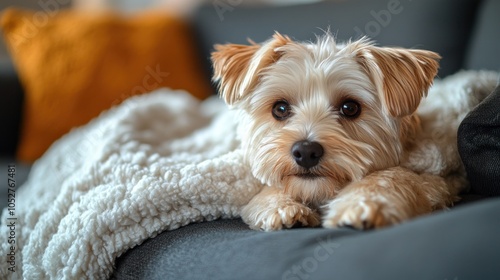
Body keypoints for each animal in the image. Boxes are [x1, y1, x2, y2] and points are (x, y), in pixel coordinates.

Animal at [210, 32, 496, 231]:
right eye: (280, 108)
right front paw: (278, 207)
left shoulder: (436, 180)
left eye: (350, 107)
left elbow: (389, 177)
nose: (306, 151)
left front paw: (362, 205)